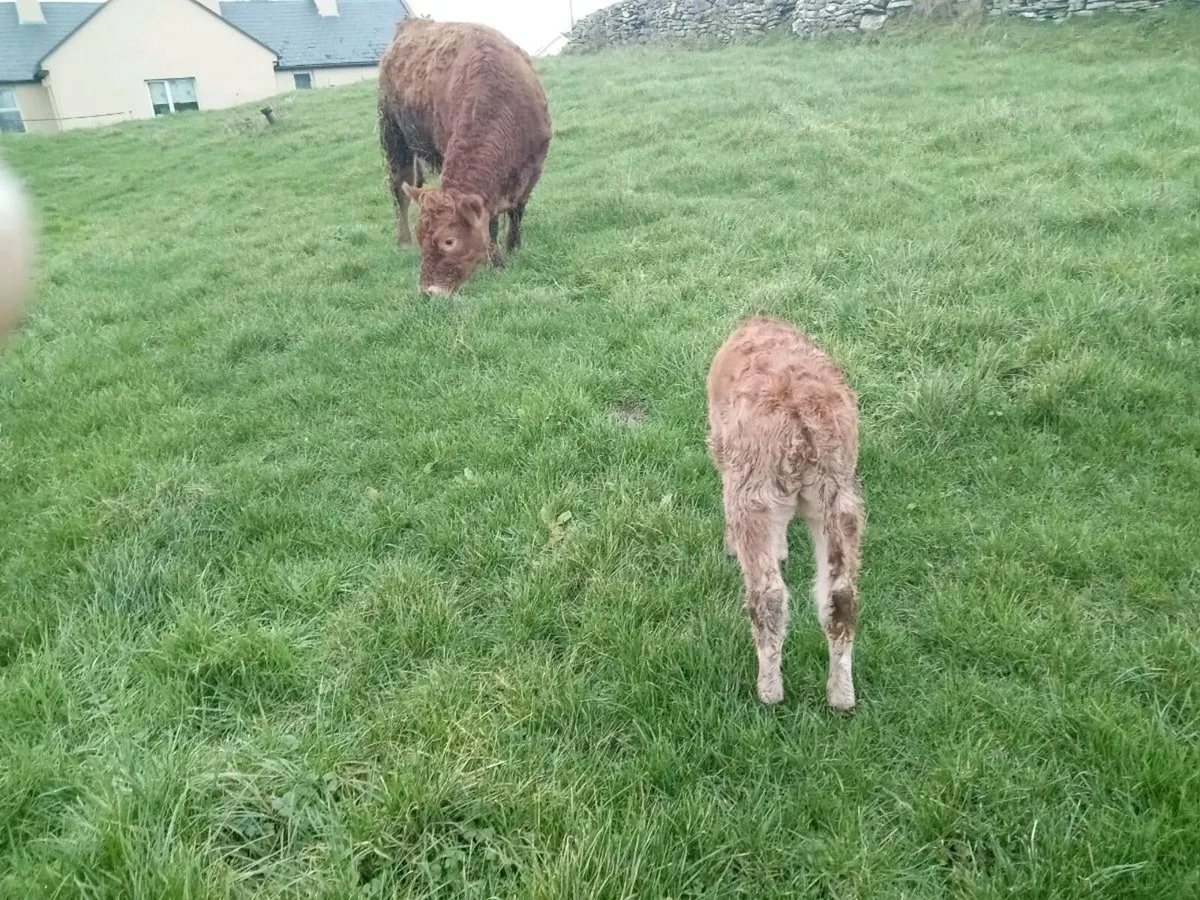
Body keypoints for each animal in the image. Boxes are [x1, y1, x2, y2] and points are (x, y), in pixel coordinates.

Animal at [378, 19, 552, 295]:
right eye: (423, 239)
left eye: (449, 241)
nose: (429, 291)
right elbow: (491, 223)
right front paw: (496, 261)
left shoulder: (533, 167)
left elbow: (517, 212)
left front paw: (514, 246)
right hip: (394, 138)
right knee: (398, 192)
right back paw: (403, 239)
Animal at [707, 315, 865, 710]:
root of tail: (802, 428)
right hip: (839, 494)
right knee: (841, 596)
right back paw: (841, 696)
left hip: (753, 489)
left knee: (768, 595)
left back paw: (769, 691)